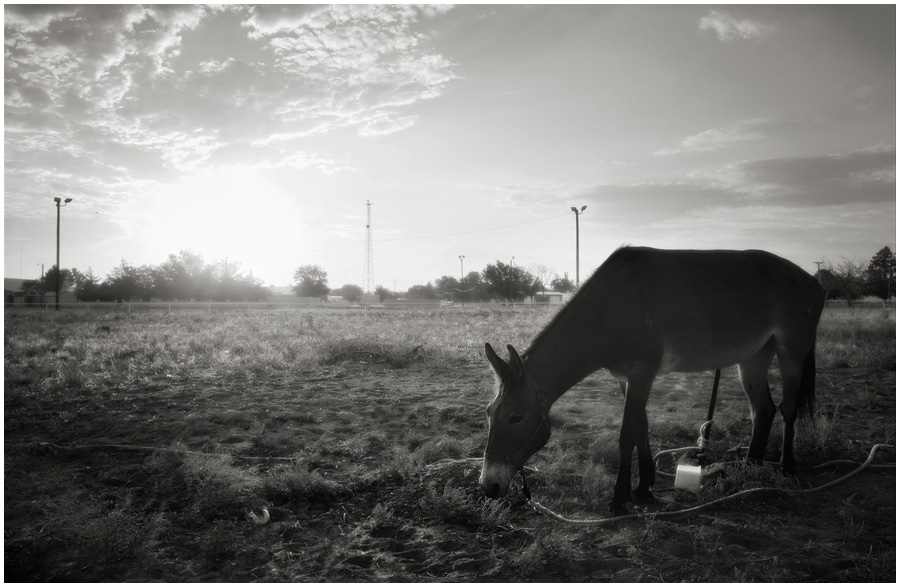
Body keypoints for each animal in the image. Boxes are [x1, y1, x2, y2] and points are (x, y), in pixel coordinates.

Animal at [482, 247, 828, 516]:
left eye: (516, 417)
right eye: (489, 413)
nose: (489, 486)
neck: (611, 304)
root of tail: (812, 281)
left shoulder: (641, 374)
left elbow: (627, 434)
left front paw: (619, 498)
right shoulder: (628, 378)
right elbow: (641, 428)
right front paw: (644, 486)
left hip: (791, 352)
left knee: (787, 409)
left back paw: (786, 467)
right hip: (754, 358)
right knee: (763, 410)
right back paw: (750, 465)